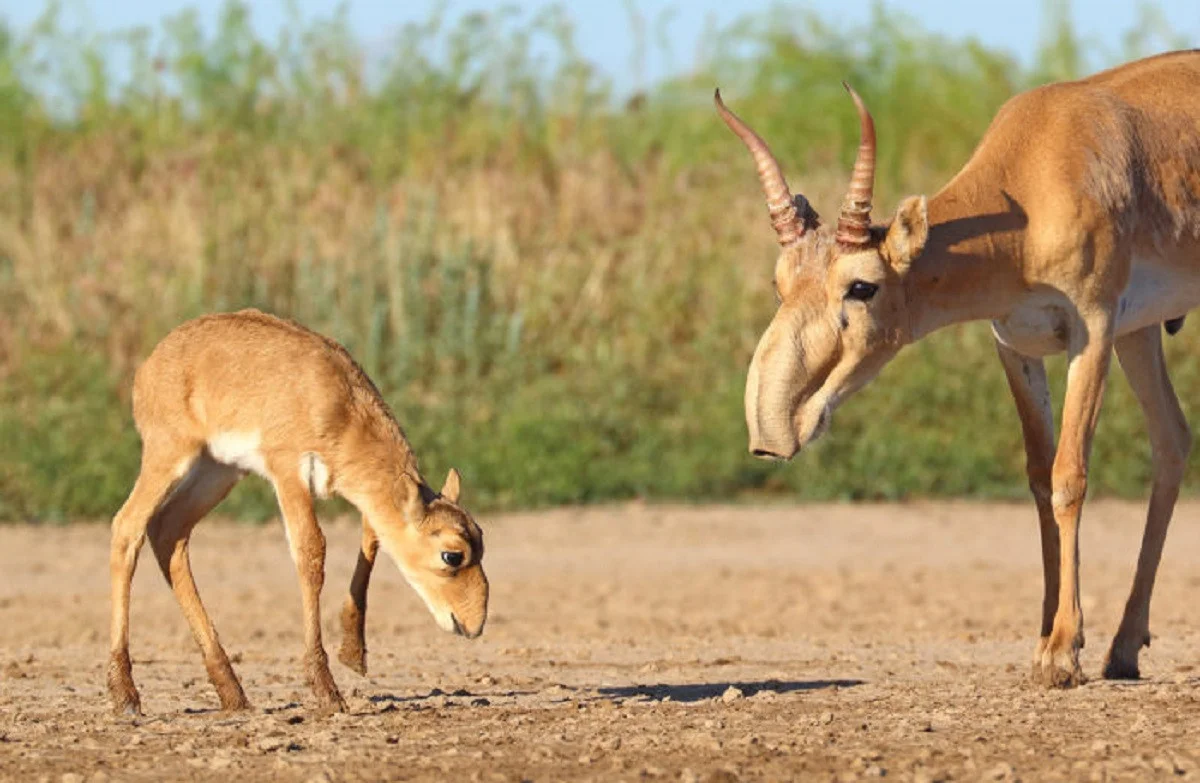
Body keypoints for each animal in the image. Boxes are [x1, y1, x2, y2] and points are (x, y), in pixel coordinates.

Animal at [106, 309, 487, 710]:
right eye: (452, 555)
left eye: (481, 538)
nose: (474, 624)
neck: (338, 402)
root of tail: (153, 362)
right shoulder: (288, 471)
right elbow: (311, 551)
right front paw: (326, 689)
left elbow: (372, 535)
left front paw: (353, 654)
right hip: (169, 456)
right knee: (127, 526)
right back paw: (125, 693)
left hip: (218, 472)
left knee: (168, 531)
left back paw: (232, 691)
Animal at [715, 50, 1200, 686]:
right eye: (780, 285)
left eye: (862, 286)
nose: (773, 433)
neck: (1035, 178)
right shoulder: (1015, 344)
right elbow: (1040, 476)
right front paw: (1045, 639)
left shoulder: (1092, 332)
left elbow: (1070, 476)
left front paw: (1063, 653)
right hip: (1141, 334)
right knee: (1172, 439)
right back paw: (1123, 649)